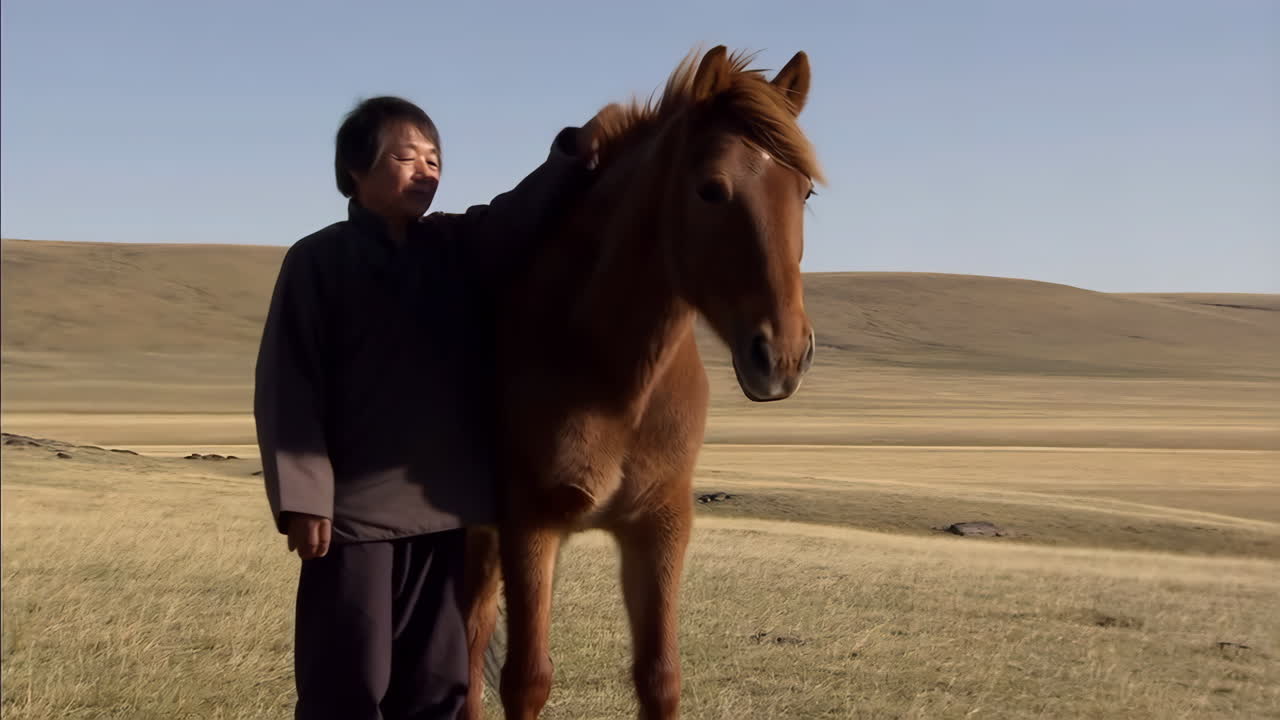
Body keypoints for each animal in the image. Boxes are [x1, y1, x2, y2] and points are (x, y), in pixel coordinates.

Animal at [462, 45, 824, 720]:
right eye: (711, 189)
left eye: (805, 191)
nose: (783, 355)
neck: (614, 377)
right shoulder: (531, 525)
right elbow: (527, 679)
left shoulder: (659, 527)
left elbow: (659, 677)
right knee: (470, 637)